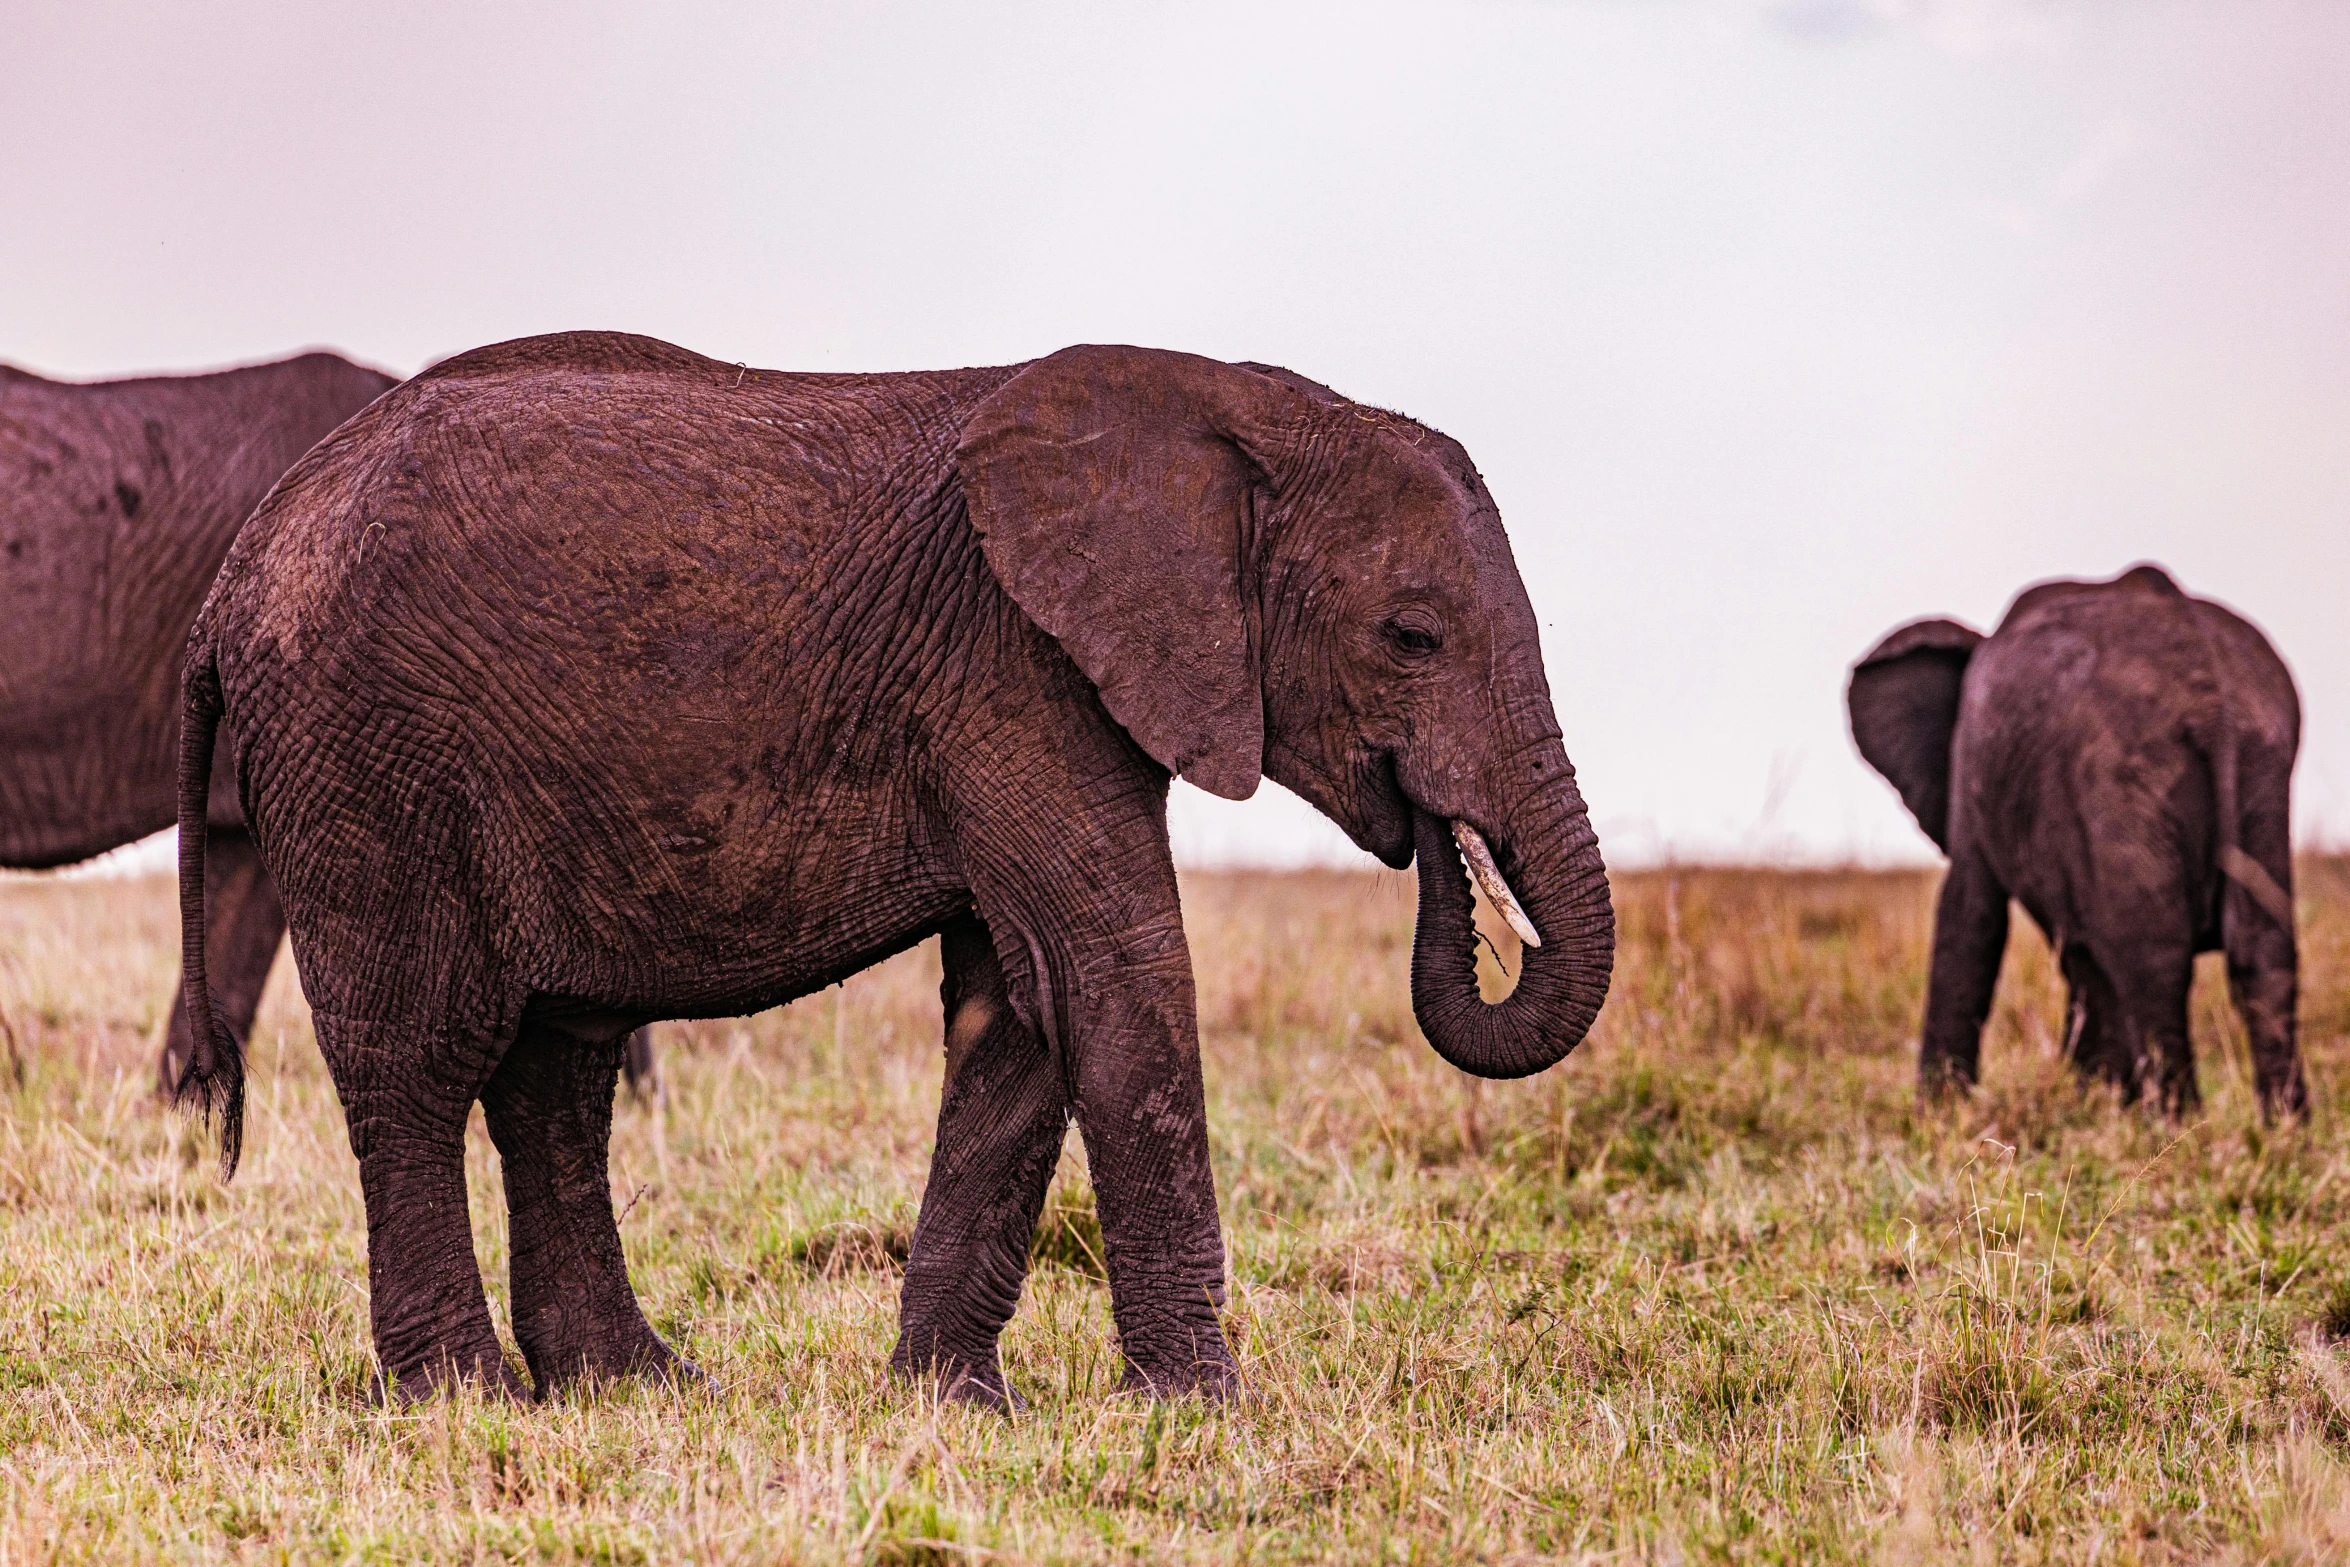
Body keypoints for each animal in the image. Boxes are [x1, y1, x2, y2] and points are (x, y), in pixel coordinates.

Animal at [173, 331, 1626, 1409]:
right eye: (1411, 635)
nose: (1433, 836)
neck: (1230, 407)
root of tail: (236, 567)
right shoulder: (1017, 674)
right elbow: (1114, 980)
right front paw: (1205, 1409)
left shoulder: (1020, 693)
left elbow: (1019, 1009)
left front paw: (951, 1403)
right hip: (367, 754)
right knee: (419, 1055)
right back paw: (465, 1397)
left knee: (553, 1068)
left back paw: (636, 1386)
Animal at [1842, 570, 2303, 1122]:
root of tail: (2213, 700)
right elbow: (2085, 958)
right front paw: (2100, 1103)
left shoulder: (1971, 759)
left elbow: (1970, 916)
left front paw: (1939, 1120)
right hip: (2261, 767)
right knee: (2264, 952)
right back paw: (2283, 1132)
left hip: (2121, 768)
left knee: (2154, 958)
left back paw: (2178, 1128)